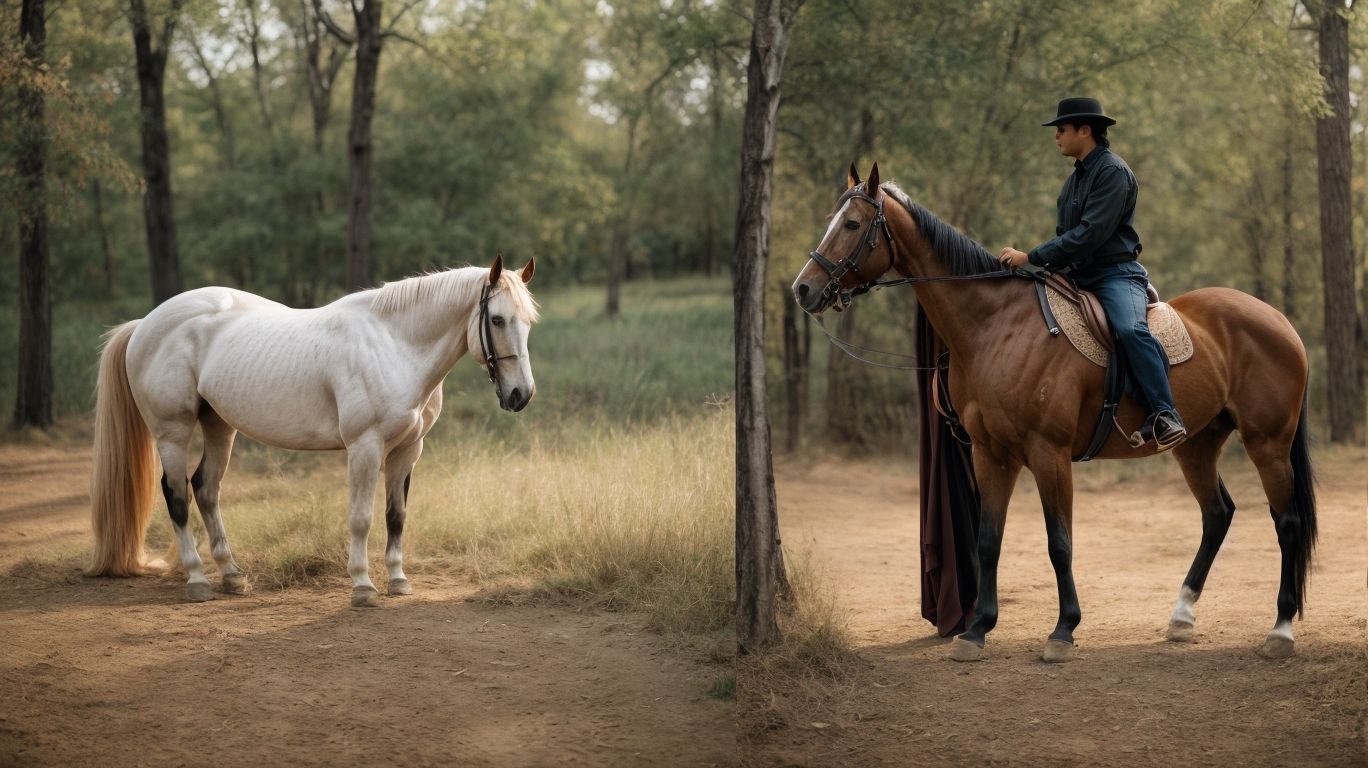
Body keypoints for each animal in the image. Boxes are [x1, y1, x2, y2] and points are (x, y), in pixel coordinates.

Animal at [87, 255, 538, 608]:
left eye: (528, 323)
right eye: (497, 319)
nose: (521, 395)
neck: (394, 344)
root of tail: (145, 324)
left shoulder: (409, 449)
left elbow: (396, 516)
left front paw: (398, 580)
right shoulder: (365, 447)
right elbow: (361, 518)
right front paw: (362, 585)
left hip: (219, 426)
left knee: (206, 489)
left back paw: (232, 575)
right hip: (172, 432)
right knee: (178, 496)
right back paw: (198, 580)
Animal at [791, 163, 1315, 662]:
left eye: (853, 223)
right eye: (831, 219)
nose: (803, 289)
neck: (998, 327)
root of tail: (1280, 321)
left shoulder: (1050, 454)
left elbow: (1059, 542)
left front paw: (1063, 630)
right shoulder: (990, 454)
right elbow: (988, 540)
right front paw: (976, 630)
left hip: (1267, 444)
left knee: (1287, 522)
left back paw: (1280, 629)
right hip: (1196, 445)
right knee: (1217, 514)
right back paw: (1181, 616)